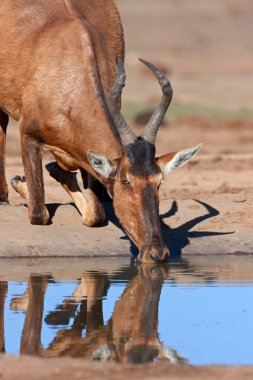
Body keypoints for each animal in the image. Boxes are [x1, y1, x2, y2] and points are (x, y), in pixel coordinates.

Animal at [0, 0, 202, 262]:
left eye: (159, 181)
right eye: (125, 180)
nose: (157, 253)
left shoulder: (90, 162)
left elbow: (96, 216)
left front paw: (58, 171)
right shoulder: (29, 136)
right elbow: (38, 213)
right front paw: (20, 181)